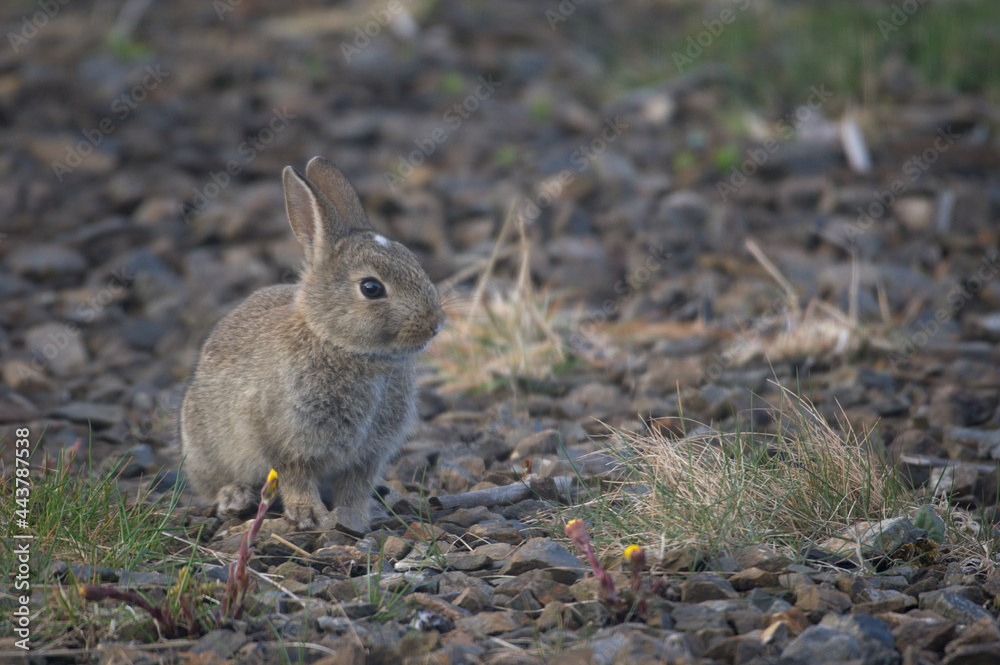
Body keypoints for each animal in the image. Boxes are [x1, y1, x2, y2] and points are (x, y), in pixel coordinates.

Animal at [180, 156, 444, 530]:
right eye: (371, 288)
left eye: (414, 262)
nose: (434, 325)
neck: (340, 344)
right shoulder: (283, 441)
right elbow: (295, 477)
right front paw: (309, 515)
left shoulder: (367, 455)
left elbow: (355, 485)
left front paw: (355, 517)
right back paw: (235, 497)